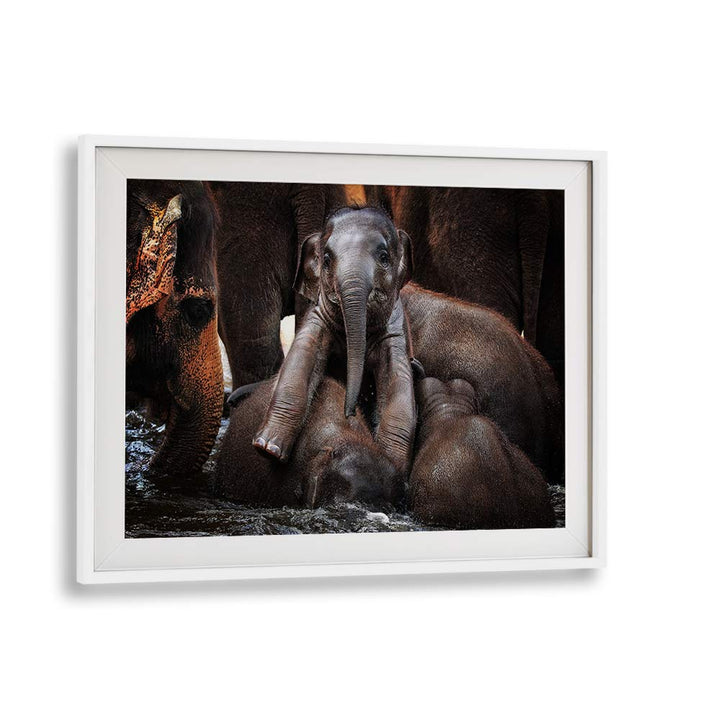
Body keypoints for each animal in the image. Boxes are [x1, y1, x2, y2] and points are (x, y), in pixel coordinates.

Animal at [253, 206, 417, 475]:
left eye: (384, 257)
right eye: (327, 259)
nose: (349, 412)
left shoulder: (395, 332)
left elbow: (399, 384)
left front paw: (391, 466)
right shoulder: (317, 319)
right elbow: (301, 358)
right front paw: (267, 449)